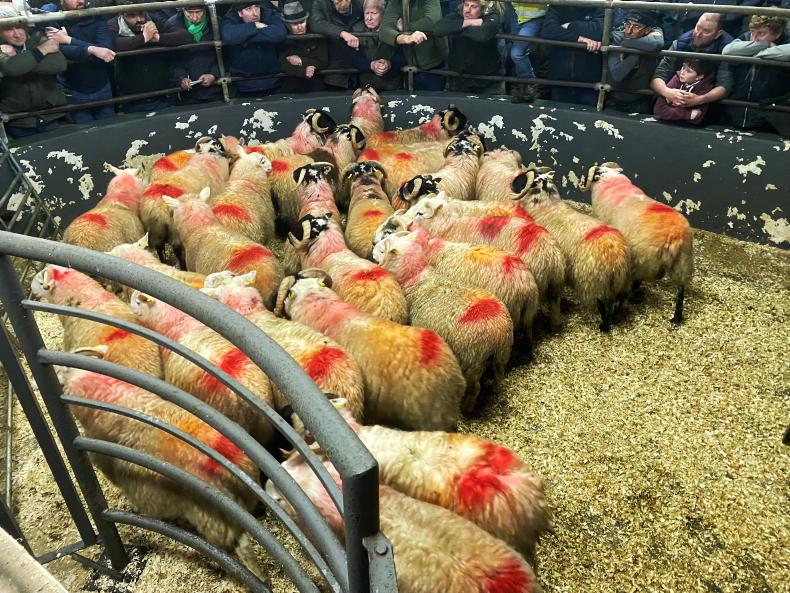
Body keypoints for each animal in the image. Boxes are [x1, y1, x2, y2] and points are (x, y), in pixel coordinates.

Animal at [373, 231, 513, 411]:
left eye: (382, 250)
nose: (372, 247)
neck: (416, 278)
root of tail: (497, 331)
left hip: (472, 359)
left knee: (475, 387)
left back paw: (467, 408)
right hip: (502, 354)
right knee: (499, 376)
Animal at [400, 192, 567, 329]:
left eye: (420, 213)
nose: (405, 222)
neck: (450, 224)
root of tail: (552, 257)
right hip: (556, 286)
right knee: (555, 305)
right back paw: (555, 325)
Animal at [515, 168, 631, 331]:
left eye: (531, 181)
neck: (549, 206)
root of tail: (616, 257)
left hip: (594, 284)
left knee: (602, 305)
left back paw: (603, 326)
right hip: (623, 282)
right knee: (620, 299)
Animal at [580, 162, 694, 325]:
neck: (611, 180)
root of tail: (673, 235)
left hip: (641, 262)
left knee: (627, 290)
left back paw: (613, 315)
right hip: (683, 261)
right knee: (681, 290)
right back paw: (676, 318)